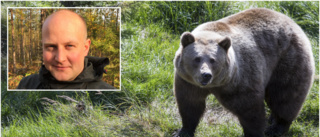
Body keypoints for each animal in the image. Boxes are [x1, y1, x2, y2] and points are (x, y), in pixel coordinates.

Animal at [172, 8, 316, 136]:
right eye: (197, 58)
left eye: (213, 60)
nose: (206, 75)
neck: (216, 85)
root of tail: (292, 21)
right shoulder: (187, 81)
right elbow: (190, 105)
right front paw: (182, 131)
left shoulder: (240, 81)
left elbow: (250, 110)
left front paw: (255, 132)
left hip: (288, 60)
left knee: (285, 95)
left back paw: (277, 127)